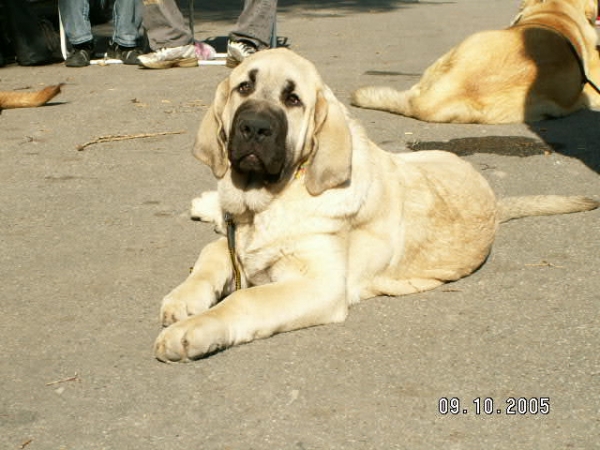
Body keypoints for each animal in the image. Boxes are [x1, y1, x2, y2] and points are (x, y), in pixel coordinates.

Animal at [154, 48, 596, 362]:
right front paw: (183, 299)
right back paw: (206, 203)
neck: (267, 200)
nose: (254, 127)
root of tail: (494, 198)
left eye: (293, 99)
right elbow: (210, 255)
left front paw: (192, 332)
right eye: (244, 87)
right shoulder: (238, 242)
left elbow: (245, 298)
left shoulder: (321, 285)